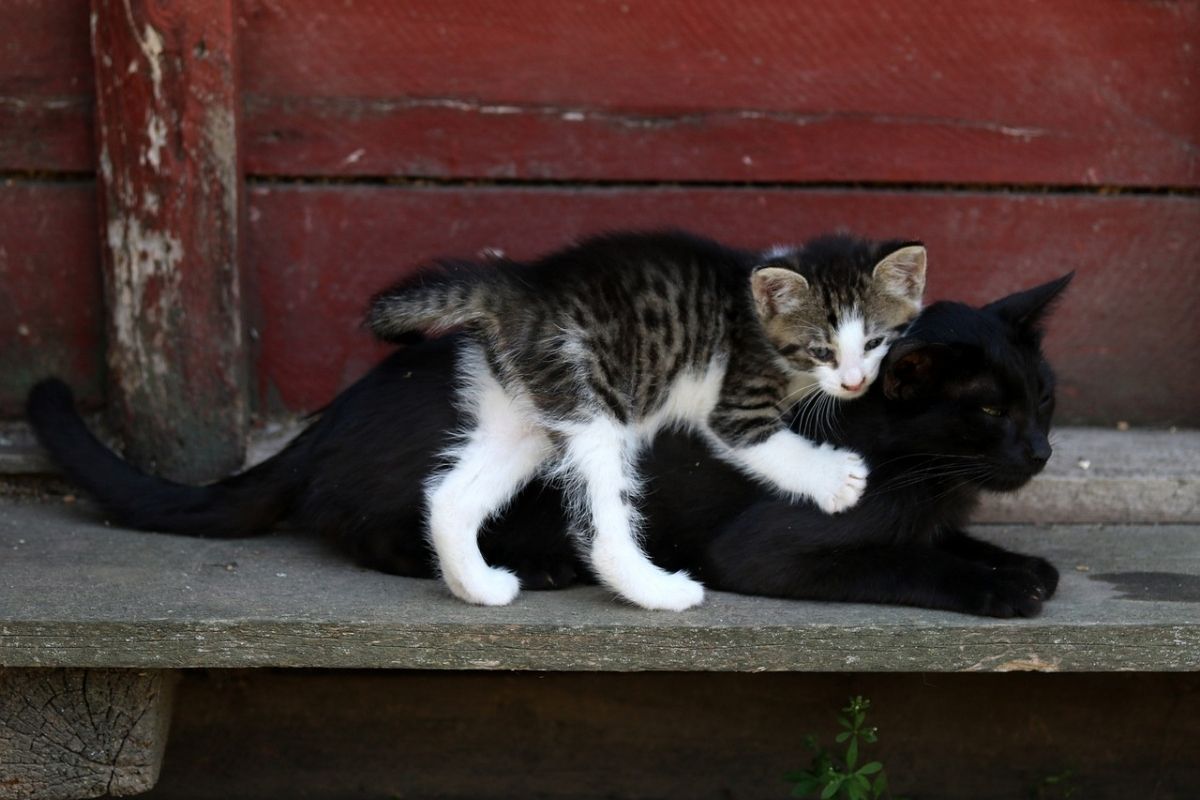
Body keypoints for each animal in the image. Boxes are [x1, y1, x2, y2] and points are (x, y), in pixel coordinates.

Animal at [25, 272, 1070, 618]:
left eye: (1044, 397)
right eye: (986, 413)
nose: (1039, 452)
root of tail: (337, 410)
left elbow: (941, 537)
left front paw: (1018, 561)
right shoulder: (770, 549)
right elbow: (901, 563)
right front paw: (995, 587)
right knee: (377, 527)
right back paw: (534, 563)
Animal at [364, 231, 926, 614]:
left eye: (874, 342)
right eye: (820, 351)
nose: (854, 382)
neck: (756, 315)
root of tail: (521, 291)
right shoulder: (736, 405)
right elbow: (770, 448)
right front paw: (837, 481)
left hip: (521, 413)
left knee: (450, 497)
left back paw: (478, 587)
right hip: (593, 401)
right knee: (600, 527)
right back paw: (659, 591)